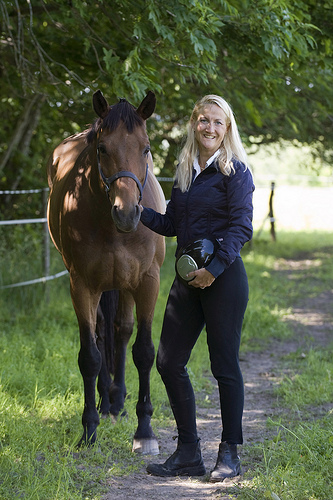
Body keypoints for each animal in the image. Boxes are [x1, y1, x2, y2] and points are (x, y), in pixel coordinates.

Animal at [46, 91, 165, 454]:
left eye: (146, 147)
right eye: (102, 148)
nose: (127, 213)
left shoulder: (148, 282)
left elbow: (144, 351)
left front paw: (145, 431)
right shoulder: (82, 286)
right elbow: (90, 356)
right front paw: (89, 429)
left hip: (124, 285)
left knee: (122, 331)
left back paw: (118, 402)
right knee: (102, 333)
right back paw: (105, 402)